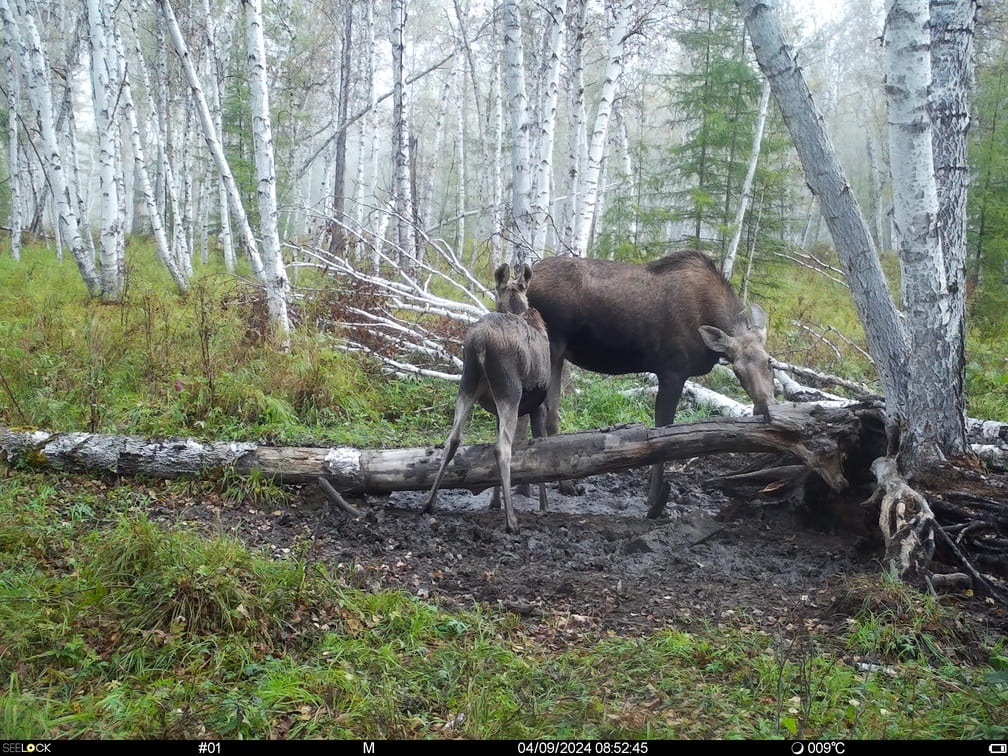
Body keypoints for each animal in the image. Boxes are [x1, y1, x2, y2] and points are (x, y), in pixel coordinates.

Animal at [425, 264, 552, 536]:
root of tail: (481, 342)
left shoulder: (494, 409)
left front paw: (494, 501)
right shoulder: (540, 406)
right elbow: (540, 447)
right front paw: (544, 505)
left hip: (467, 383)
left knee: (452, 439)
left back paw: (429, 502)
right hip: (510, 391)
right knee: (502, 447)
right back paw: (511, 521)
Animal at [532, 252, 774, 520]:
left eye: (770, 362)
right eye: (737, 371)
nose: (765, 406)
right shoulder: (672, 372)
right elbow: (664, 428)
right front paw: (654, 498)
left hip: (558, 354)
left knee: (549, 411)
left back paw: (560, 485)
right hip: (550, 345)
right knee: (536, 412)